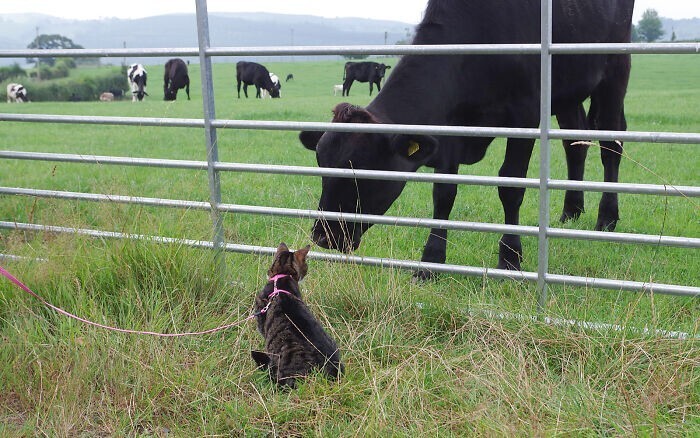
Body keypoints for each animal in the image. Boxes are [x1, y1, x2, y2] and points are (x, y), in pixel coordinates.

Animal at [298, 0, 636, 278]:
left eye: (364, 173)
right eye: (322, 168)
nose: (323, 236)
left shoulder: (526, 114)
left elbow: (510, 186)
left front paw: (510, 257)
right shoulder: (449, 125)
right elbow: (444, 192)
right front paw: (431, 261)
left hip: (615, 71)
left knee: (610, 145)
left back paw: (607, 218)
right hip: (567, 93)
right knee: (574, 144)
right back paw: (571, 210)